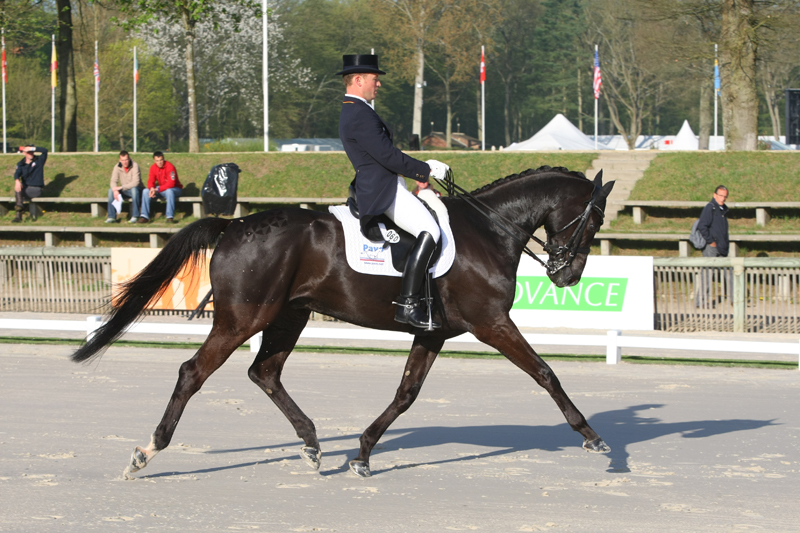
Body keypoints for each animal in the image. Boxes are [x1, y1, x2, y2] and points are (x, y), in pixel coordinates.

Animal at [72, 166, 616, 478]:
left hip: (288, 315)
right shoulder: (492, 323)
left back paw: (313, 444)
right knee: (194, 372)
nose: (567, 275)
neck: (488, 230)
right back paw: (147, 452)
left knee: (264, 372)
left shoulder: (434, 332)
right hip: (242, 318)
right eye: (593, 220)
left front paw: (362, 453)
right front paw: (592, 437)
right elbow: (546, 373)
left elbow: (406, 394)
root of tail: (235, 224)